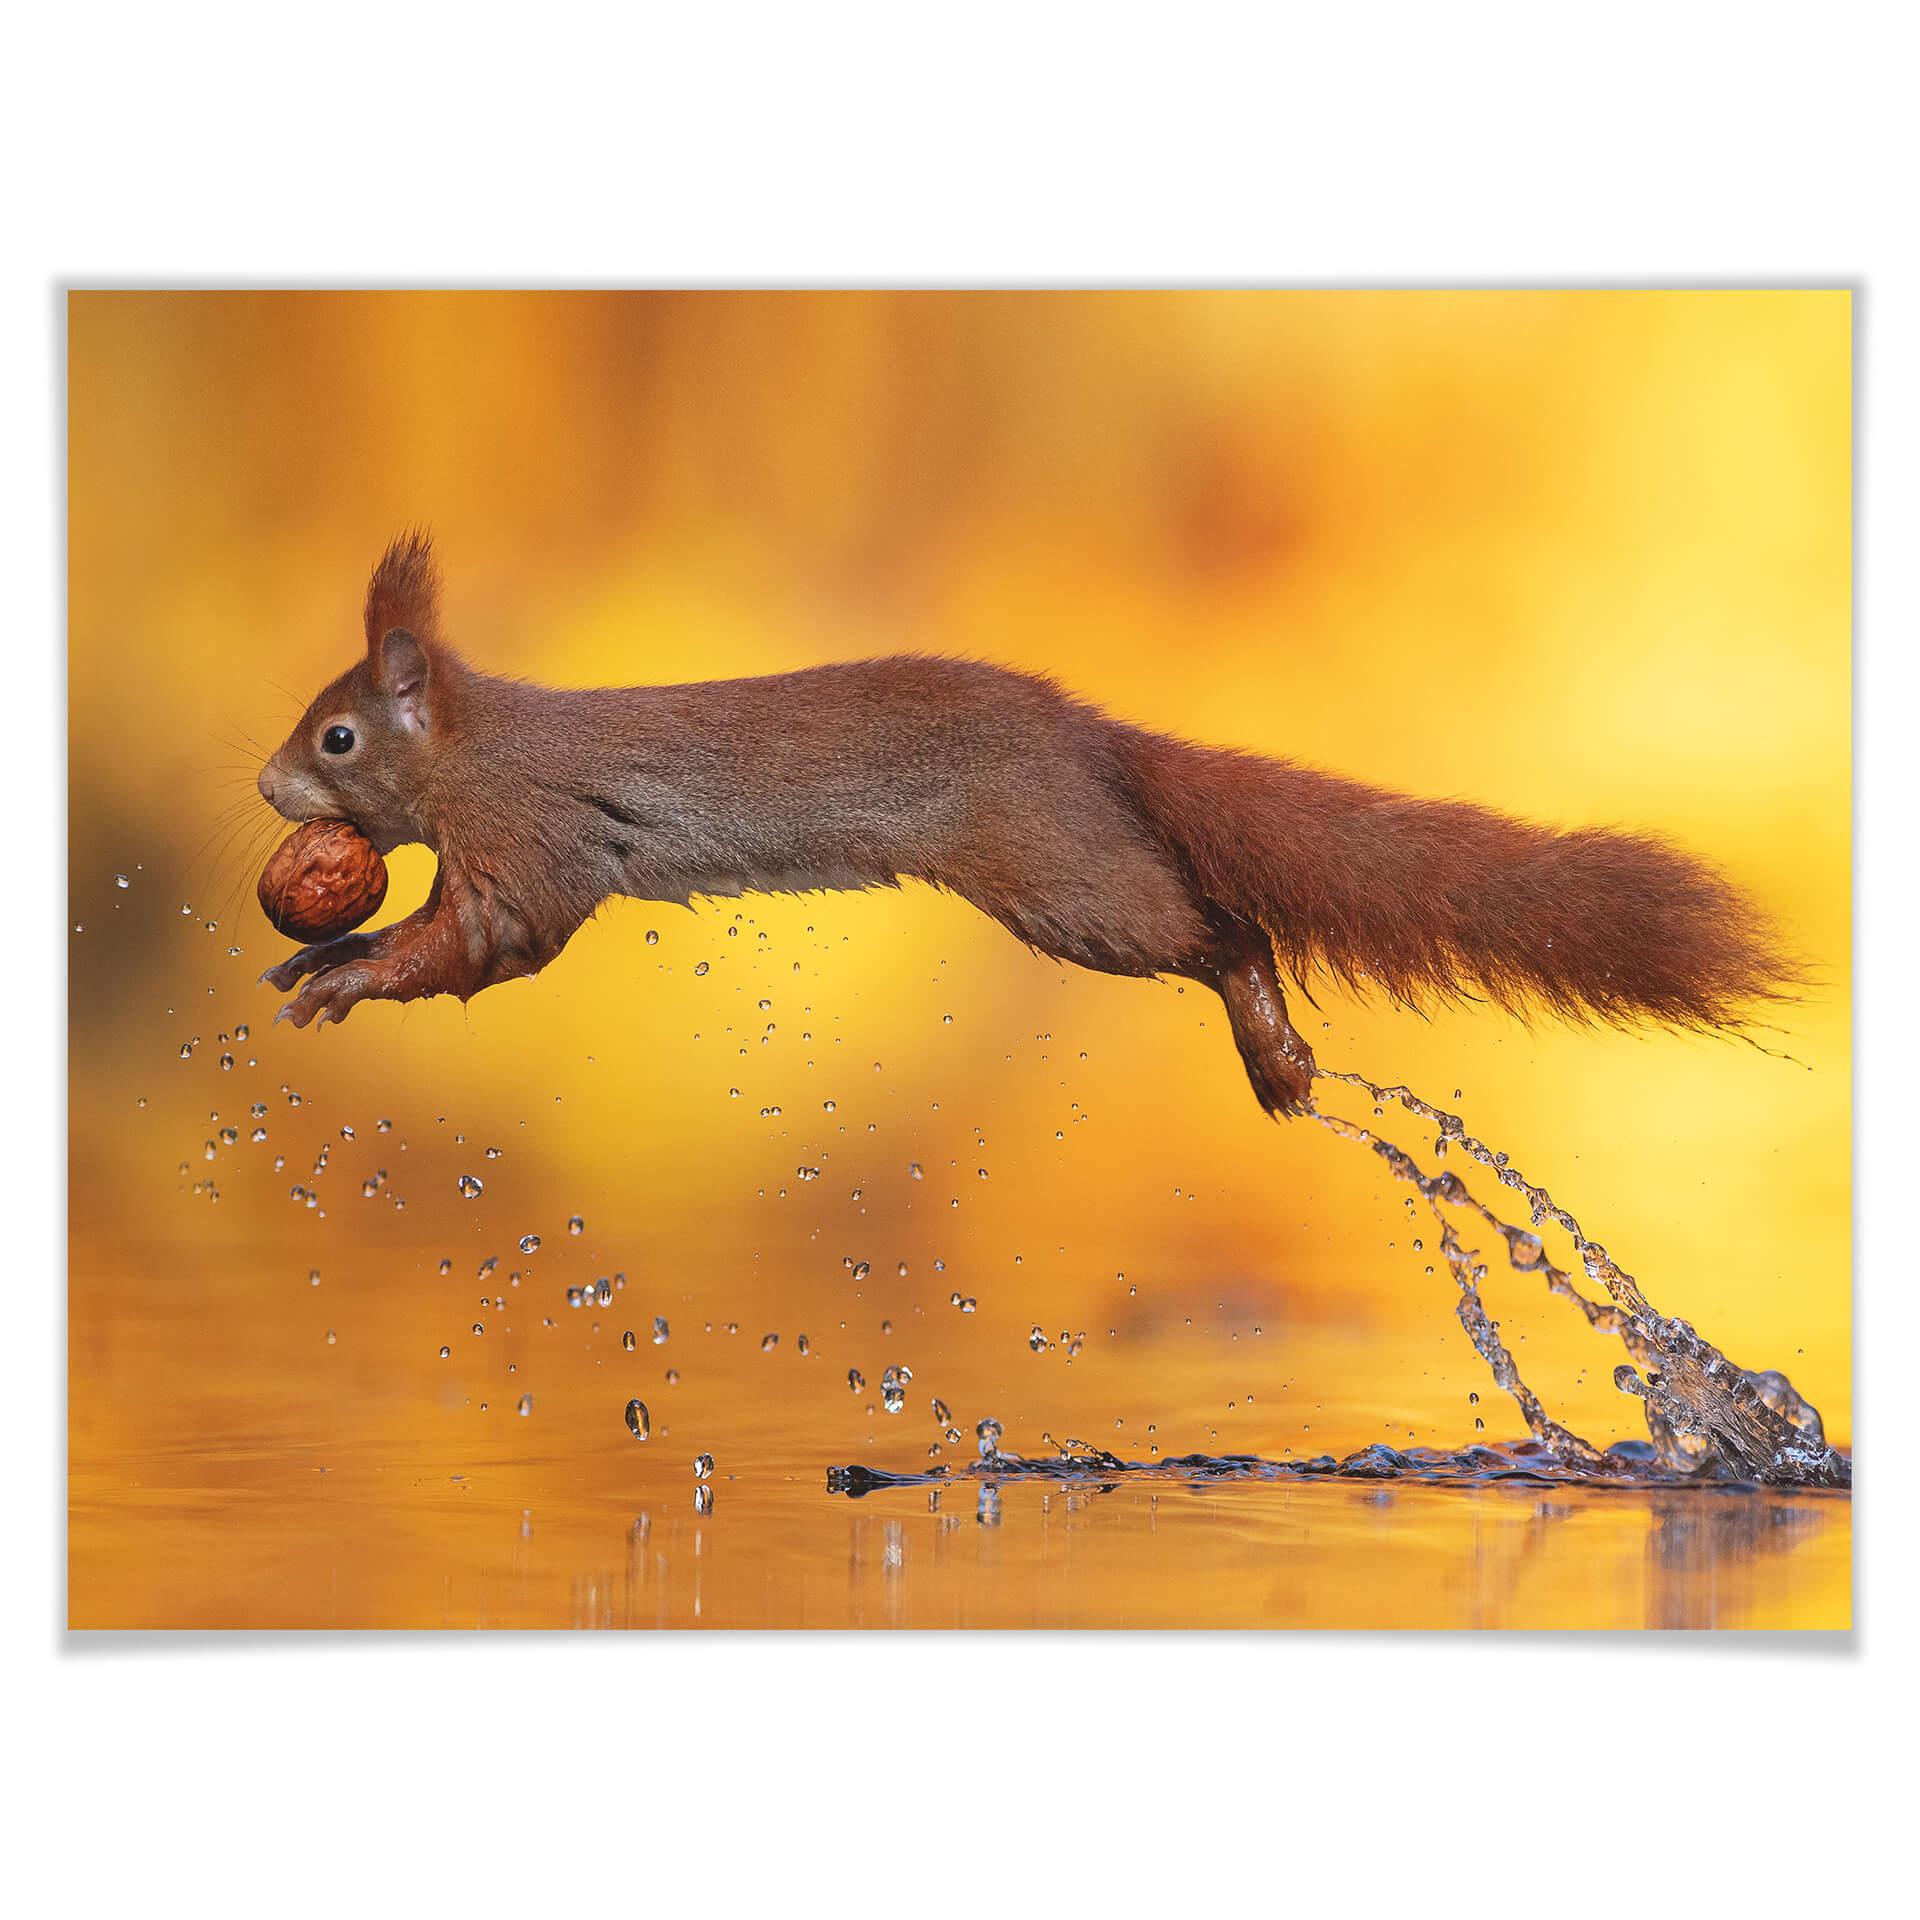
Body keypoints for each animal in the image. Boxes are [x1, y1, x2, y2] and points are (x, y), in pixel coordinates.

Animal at [258, 532, 1793, 1116]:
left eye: (336, 735)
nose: (268, 787)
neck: (479, 745)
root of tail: (1095, 740)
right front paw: (307, 956)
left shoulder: (531, 844)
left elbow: (482, 946)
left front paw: (342, 977)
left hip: (1066, 879)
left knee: (1224, 930)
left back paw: (1276, 1050)